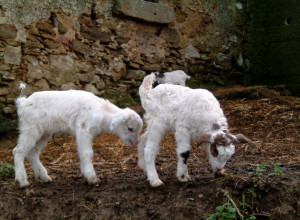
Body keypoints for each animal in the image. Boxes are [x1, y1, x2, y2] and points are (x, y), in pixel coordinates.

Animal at [14, 85, 144, 188]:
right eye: (130, 128)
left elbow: (82, 152)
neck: (102, 111)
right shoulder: (84, 130)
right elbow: (87, 153)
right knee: (18, 151)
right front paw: (92, 178)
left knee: (33, 152)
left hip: (44, 133)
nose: (135, 143)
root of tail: (23, 103)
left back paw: (43, 176)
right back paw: (23, 181)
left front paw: (85, 174)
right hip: (30, 129)